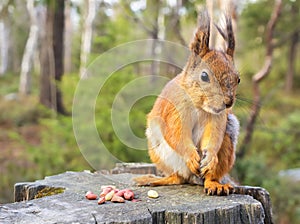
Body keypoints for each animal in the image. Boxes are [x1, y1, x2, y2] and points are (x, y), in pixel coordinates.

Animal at [135, 11, 240, 196]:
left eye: (238, 79)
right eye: (204, 76)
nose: (228, 103)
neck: (200, 106)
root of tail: (193, 177)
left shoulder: (218, 118)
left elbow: (214, 135)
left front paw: (210, 156)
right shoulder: (173, 109)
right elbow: (176, 134)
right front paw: (190, 155)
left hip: (227, 145)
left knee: (208, 175)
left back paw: (215, 184)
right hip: (163, 155)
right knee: (179, 177)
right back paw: (160, 179)